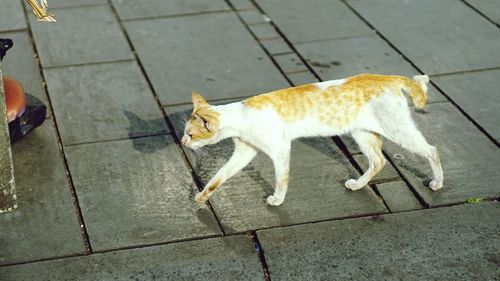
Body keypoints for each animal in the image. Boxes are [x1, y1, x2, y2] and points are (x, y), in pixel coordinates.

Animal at [182, 74, 444, 206]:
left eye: (191, 134)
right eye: (184, 132)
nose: (183, 143)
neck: (241, 114)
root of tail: (388, 76)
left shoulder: (280, 150)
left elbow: (281, 179)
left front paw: (278, 199)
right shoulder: (244, 152)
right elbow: (219, 177)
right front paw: (203, 196)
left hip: (398, 130)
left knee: (432, 150)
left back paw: (437, 183)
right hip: (362, 134)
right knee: (378, 161)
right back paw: (358, 185)